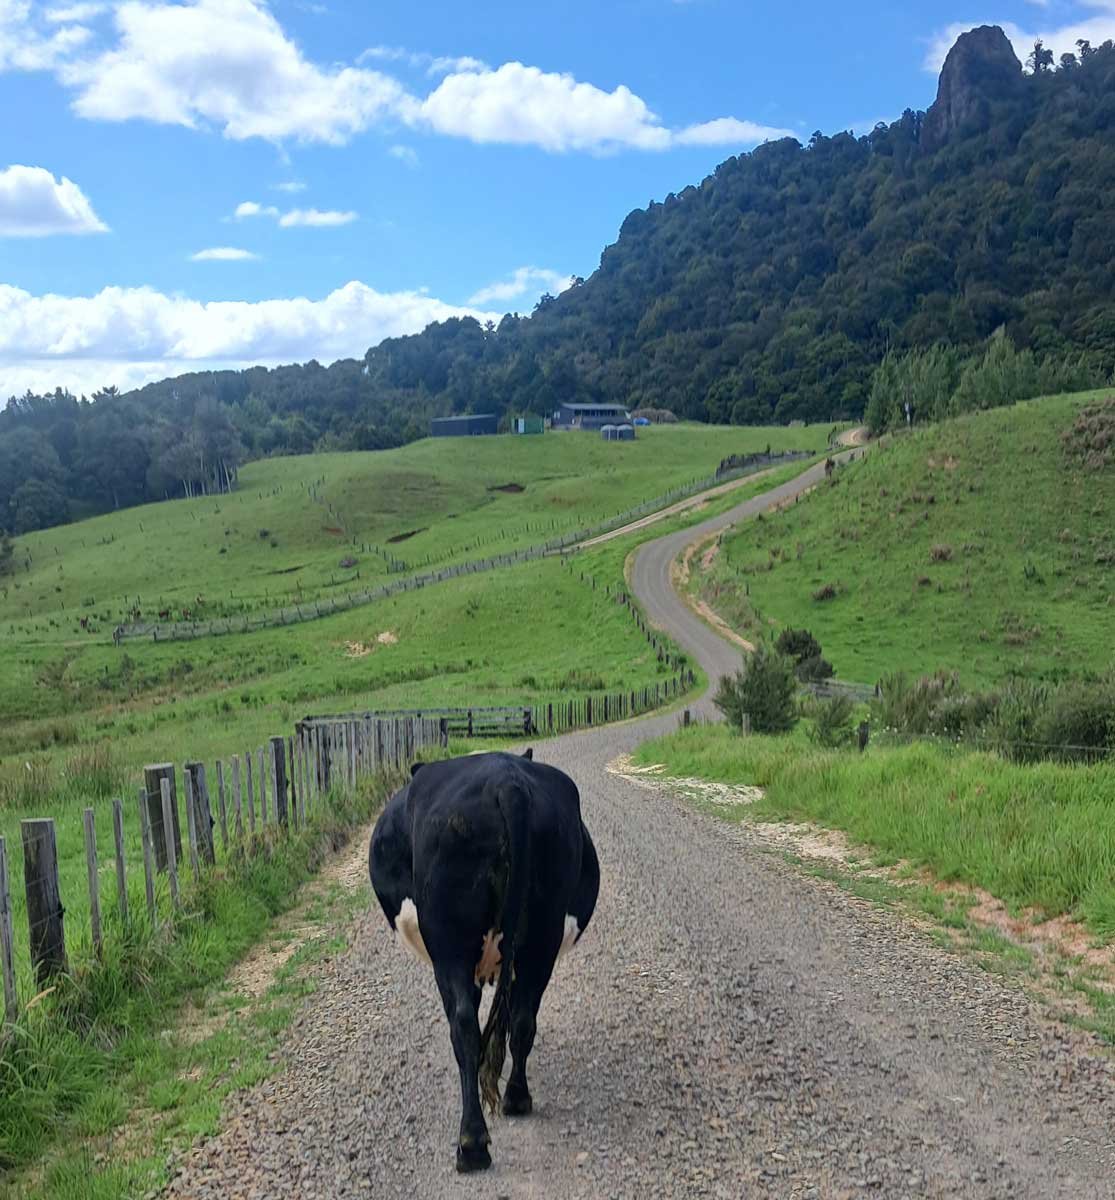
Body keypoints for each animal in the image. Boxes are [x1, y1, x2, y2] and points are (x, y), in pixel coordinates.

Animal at [369, 749, 599, 1173]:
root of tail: (505, 781)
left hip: (450, 948)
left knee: (463, 1026)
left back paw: (471, 1144)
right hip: (541, 940)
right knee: (523, 1019)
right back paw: (516, 1098)